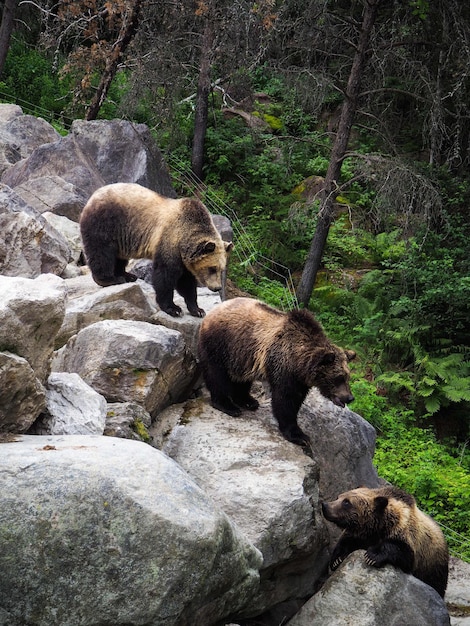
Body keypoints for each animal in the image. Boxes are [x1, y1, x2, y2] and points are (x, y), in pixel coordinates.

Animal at [79, 182, 233, 316]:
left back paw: (127, 275)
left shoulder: (184, 256)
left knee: (119, 255)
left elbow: (187, 282)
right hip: (106, 222)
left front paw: (198, 310)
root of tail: (93, 195)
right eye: (212, 268)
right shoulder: (170, 239)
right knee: (102, 251)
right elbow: (165, 275)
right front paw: (173, 308)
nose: (217, 287)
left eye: (221, 269)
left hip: (122, 235)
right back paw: (110, 279)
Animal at [197, 296, 356, 444]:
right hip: (220, 344)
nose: (349, 397)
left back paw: (248, 401)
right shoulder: (284, 367)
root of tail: (213, 311)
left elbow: (296, 399)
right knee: (216, 375)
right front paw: (299, 435)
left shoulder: (300, 379)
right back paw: (227, 405)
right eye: (339, 377)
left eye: (347, 377)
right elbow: (285, 401)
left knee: (241, 378)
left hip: (241, 355)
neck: (300, 362)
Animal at [322, 482, 450, 596]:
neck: (377, 527)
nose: (325, 506)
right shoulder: (360, 535)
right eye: (338, 497)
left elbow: (401, 551)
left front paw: (372, 556)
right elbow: (346, 541)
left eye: (347, 502)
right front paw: (337, 559)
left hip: (433, 566)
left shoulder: (407, 537)